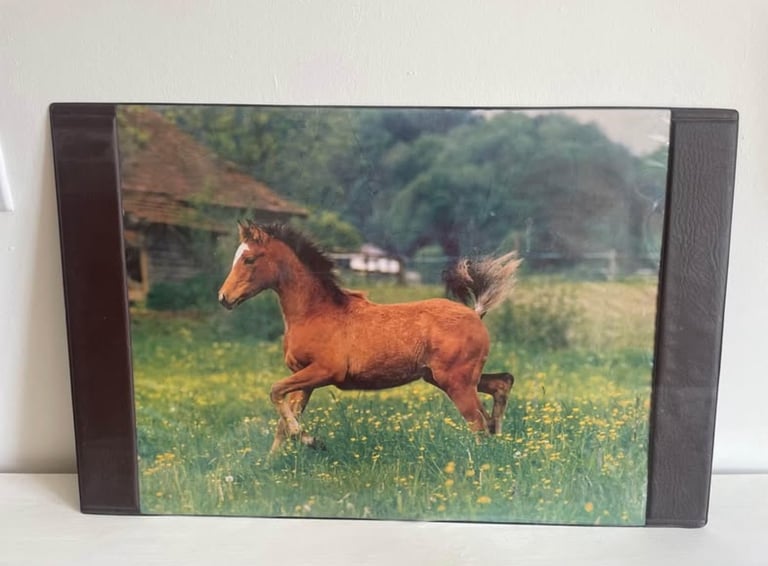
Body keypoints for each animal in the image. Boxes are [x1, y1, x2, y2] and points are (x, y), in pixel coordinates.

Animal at [217, 221, 522, 453]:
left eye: (249, 259)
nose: (224, 298)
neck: (315, 312)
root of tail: (475, 313)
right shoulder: (304, 378)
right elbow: (282, 420)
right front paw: (272, 462)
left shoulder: (324, 371)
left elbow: (275, 392)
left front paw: (313, 441)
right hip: (445, 378)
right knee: (501, 385)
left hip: (456, 381)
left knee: (478, 422)